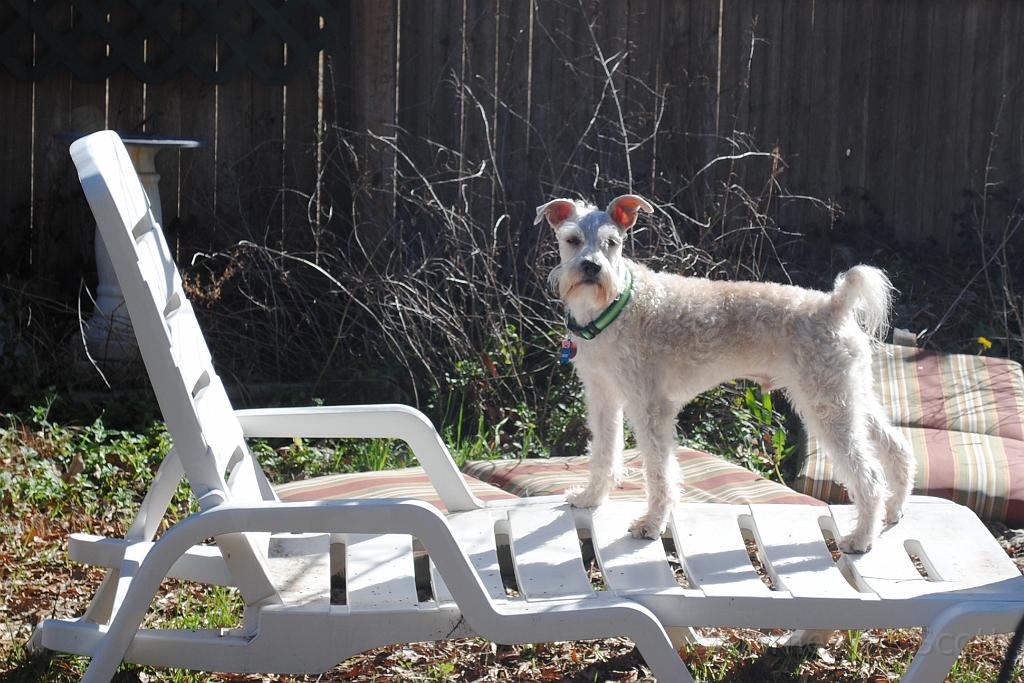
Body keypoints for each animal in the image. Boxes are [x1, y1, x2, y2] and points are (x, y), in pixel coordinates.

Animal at [540, 194, 917, 552]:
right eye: (572, 239)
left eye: (612, 242)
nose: (591, 268)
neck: (615, 306)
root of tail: (835, 306)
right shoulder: (603, 397)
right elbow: (604, 452)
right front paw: (589, 499)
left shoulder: (650, 407)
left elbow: (660, 472)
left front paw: (651, 523)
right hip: (851, 397)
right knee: (897, 449)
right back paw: (893, 511)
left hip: (828, 407)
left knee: (869, 477)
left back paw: (861, 539)